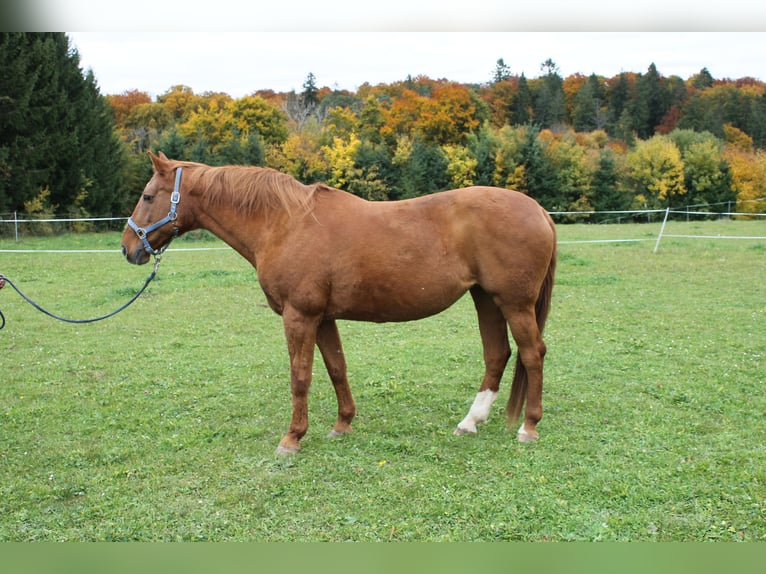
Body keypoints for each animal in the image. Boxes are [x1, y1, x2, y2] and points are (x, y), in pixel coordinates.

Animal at [122, 152, 557, 455]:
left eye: (147, 195)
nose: (128, 248)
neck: (285, 223)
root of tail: (538, 209)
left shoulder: (299, 316)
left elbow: (300, 377)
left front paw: (292, 438)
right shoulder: (323, 318)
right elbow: (336, 369)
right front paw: (342, 424)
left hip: (514, 303)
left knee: (532, 353)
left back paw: (528, 427)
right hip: (486, 299)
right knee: (497, 354)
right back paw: (471, 421)